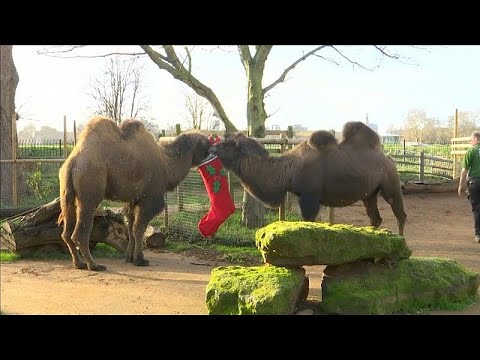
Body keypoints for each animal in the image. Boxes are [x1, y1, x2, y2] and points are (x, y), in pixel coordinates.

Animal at [58, 116, 212, 272]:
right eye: (207, 144)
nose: (215, 150)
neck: (167, 165)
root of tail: (72, 163)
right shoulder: (149, 200)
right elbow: (139, 229)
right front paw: (140, 260)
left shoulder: (133, 200)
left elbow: (130, 228)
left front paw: (129, 258)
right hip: (89, 188)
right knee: (80, 233)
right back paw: (94, 265)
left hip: (67, 193)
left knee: (66, 233)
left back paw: (79, 263)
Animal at [208, 121, 406, 236]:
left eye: (227, 144)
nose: (212, 148)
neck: (286, 170)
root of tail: (389, 159)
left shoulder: (309, 197)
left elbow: (308, 222)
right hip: (370, 193)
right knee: (375, 217)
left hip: (390, 183)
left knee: (400, 214)